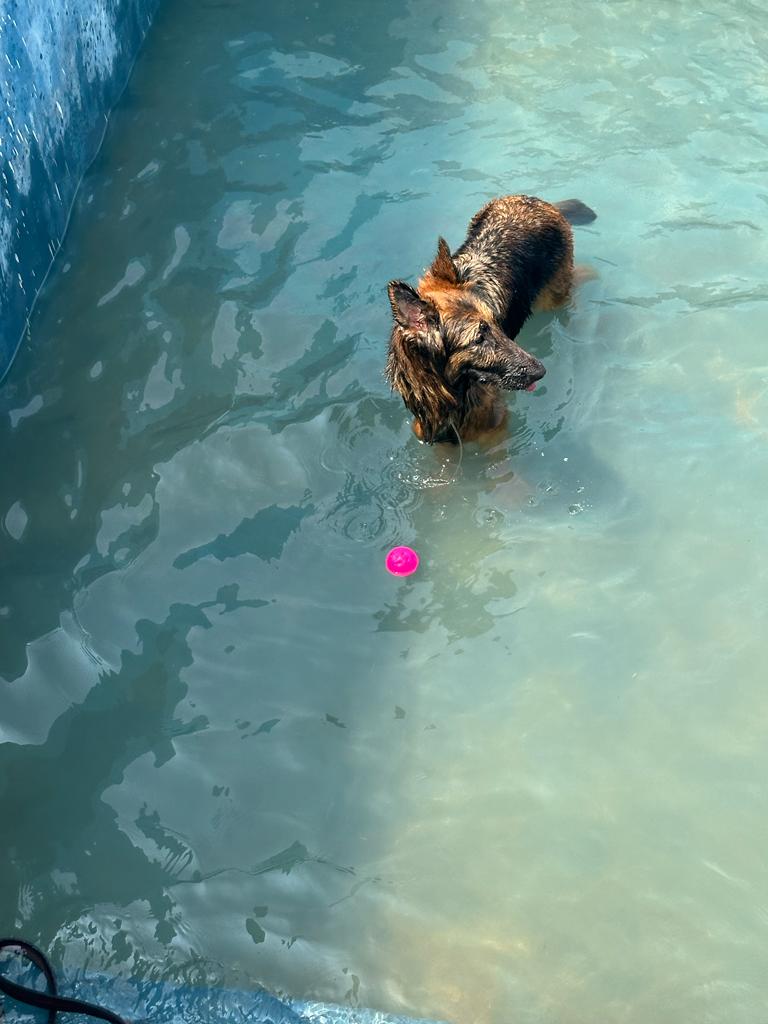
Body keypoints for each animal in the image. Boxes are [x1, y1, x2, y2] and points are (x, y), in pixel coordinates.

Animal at [385, 195, 596, 443]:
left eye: (496, 323)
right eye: (479, 339)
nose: (541, 371)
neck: (448, 395)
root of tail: (537, 201)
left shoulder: (495, 432)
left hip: (554, 296)